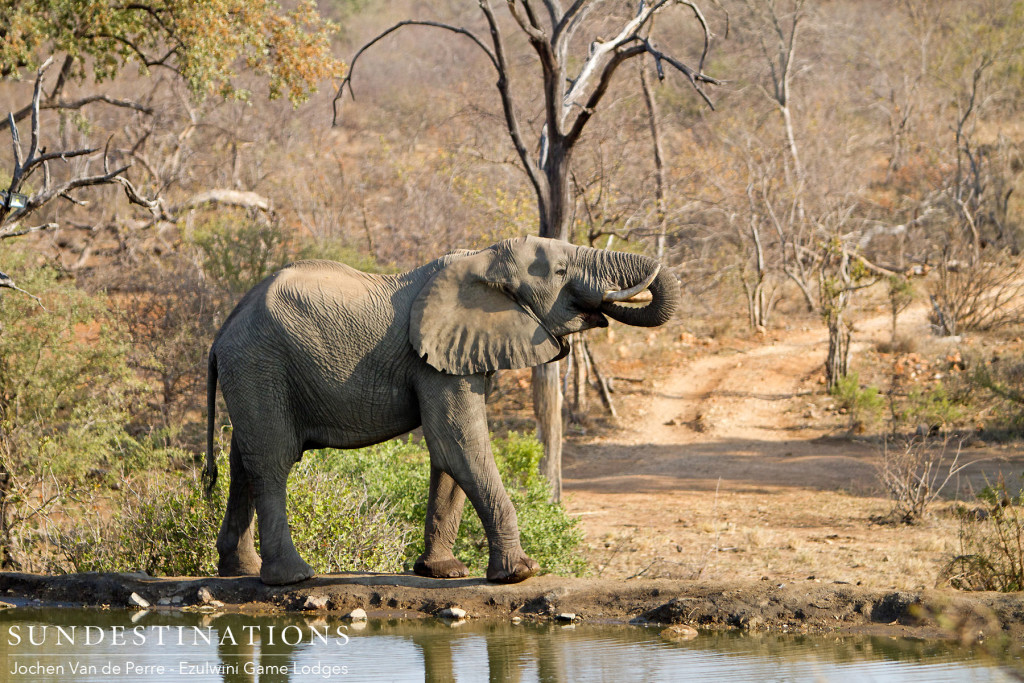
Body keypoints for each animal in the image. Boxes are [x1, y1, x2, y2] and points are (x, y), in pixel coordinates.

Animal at [202, 233, 675, 581]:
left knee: (242, 461)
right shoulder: (434, 359)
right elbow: (458, 444)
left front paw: (442, 572)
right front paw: (520, 573)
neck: (483, 258)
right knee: (272, 459)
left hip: (252, 372)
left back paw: (237, 571)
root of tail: (222, 331)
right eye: (559, 272)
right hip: (260, 364)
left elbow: (449, 452)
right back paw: (293, 577)